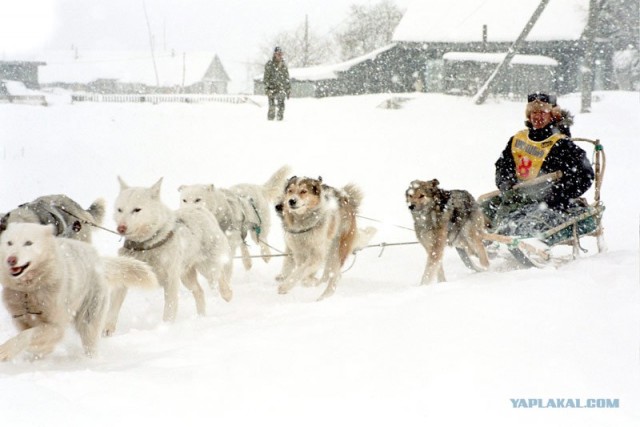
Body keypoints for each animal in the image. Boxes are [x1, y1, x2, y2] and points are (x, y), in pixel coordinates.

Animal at [0, 224, 158, 362]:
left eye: (28, 243)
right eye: (9, 243)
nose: (11, 259)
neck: (28, 291)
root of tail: (98, 260)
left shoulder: (56, 325)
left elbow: (26, 336)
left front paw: (6, 350)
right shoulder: (21, 320)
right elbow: (28, 336)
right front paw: (39, 352)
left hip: (88, 320)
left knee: (91, 346)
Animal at [111, 176, 234, 330]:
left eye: (137, 209)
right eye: (119, 209)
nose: (121, 228)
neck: (147, 245)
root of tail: (198, 209)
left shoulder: (170, 281)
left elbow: (169, 310)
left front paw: (167, 327)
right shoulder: (126, 274)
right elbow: (112, 309)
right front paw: (106, 331)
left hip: (207, 268)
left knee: (220, 275)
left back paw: (227, 294)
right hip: (186, 276)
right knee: (199, 291)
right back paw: (201, 317)